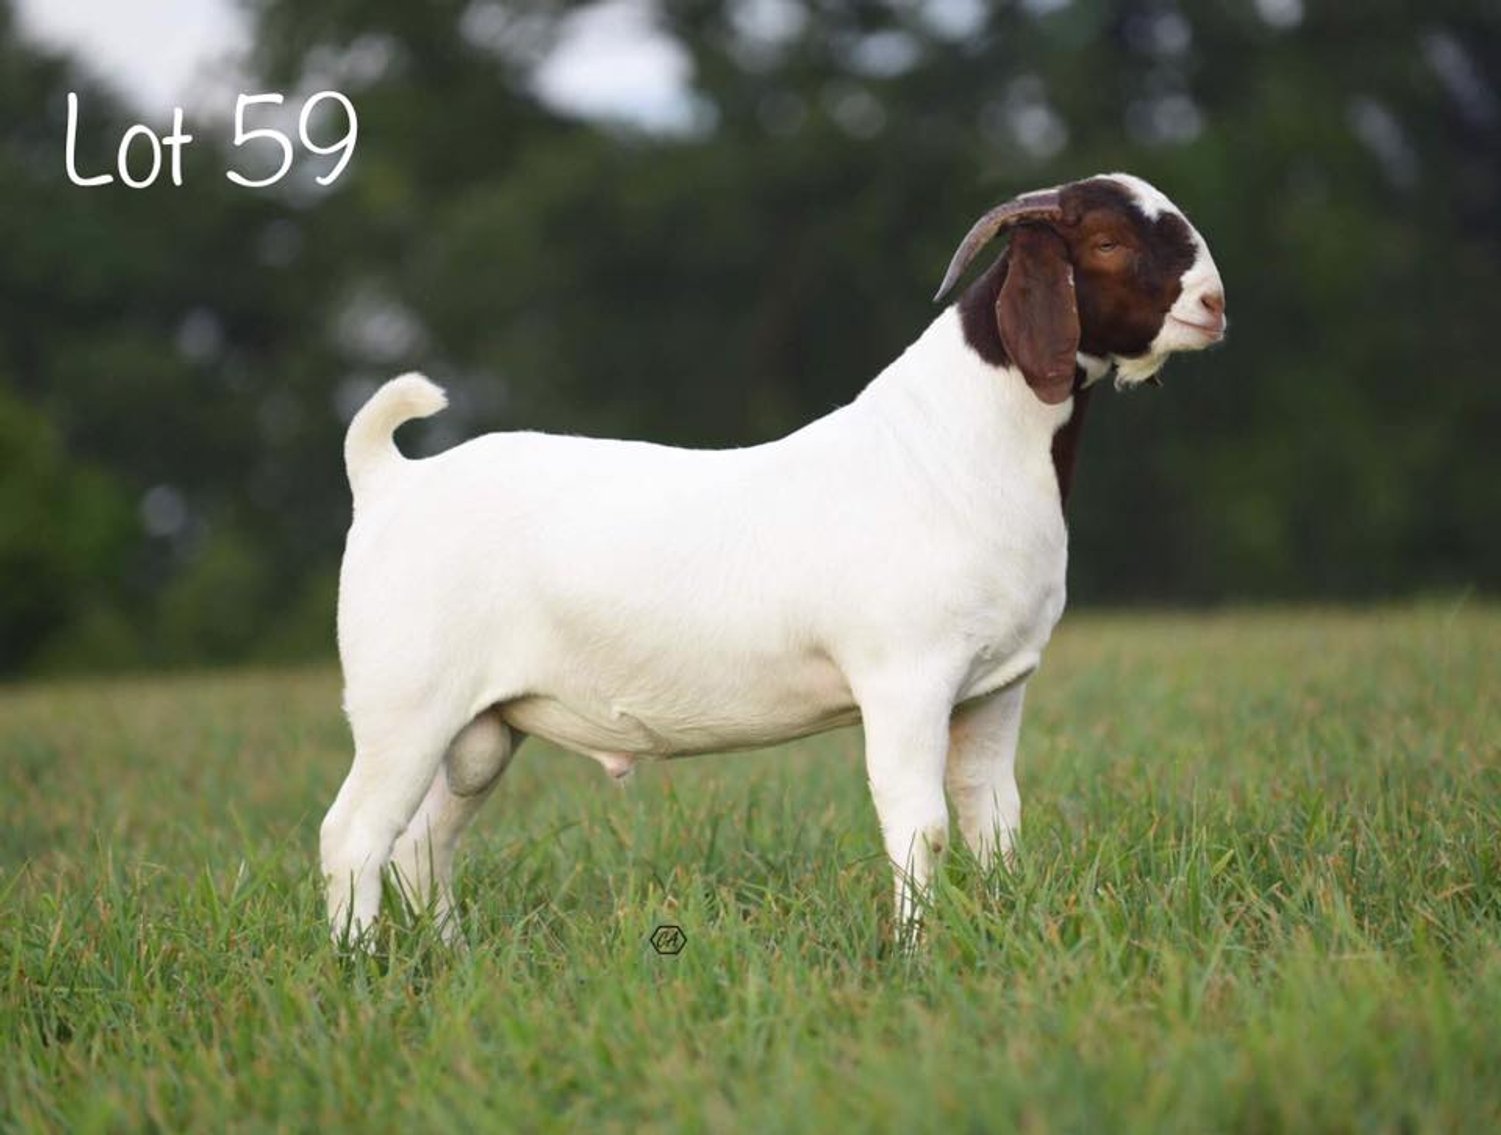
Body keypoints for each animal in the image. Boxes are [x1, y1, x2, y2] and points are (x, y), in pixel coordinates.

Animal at [320, 172, 1227, 942]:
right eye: (1105, 241)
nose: (1213, 303)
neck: (948, 448)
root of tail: (388, 479)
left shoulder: (996, 687)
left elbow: (991, 822)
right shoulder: (905, 680)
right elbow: (922, 829)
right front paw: (916, 955)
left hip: (483, 727)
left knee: (421, 843)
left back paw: (449, 960)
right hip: (406, 703)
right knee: (354, 833)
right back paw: (359, 966)